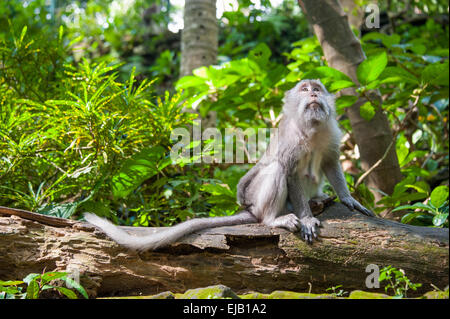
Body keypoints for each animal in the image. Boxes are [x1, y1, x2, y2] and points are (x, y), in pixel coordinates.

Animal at [83, 79, 372, 251]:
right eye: (304, 89)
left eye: (317, 88)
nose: (312, 93)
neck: (311, 129)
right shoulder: (290, 137)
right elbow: (287, 169)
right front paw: (308, 218)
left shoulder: (331, 132)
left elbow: (331, 162)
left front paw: (348, 199)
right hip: (260, 200)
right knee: (275, 171)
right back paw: (274, 218)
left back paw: (318, 199)